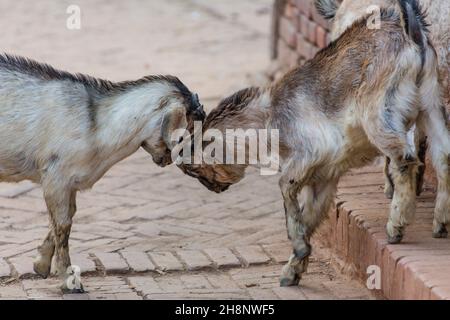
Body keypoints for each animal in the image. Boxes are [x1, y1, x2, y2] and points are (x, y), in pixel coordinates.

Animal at [0, 53, 205, 292]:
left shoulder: (69, 184)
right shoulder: (55, 178)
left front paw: (41, 265)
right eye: (186, 131)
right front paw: (69, 280)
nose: (168, 160)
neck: (97, 125)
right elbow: (63, 224)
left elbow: (66, 217)